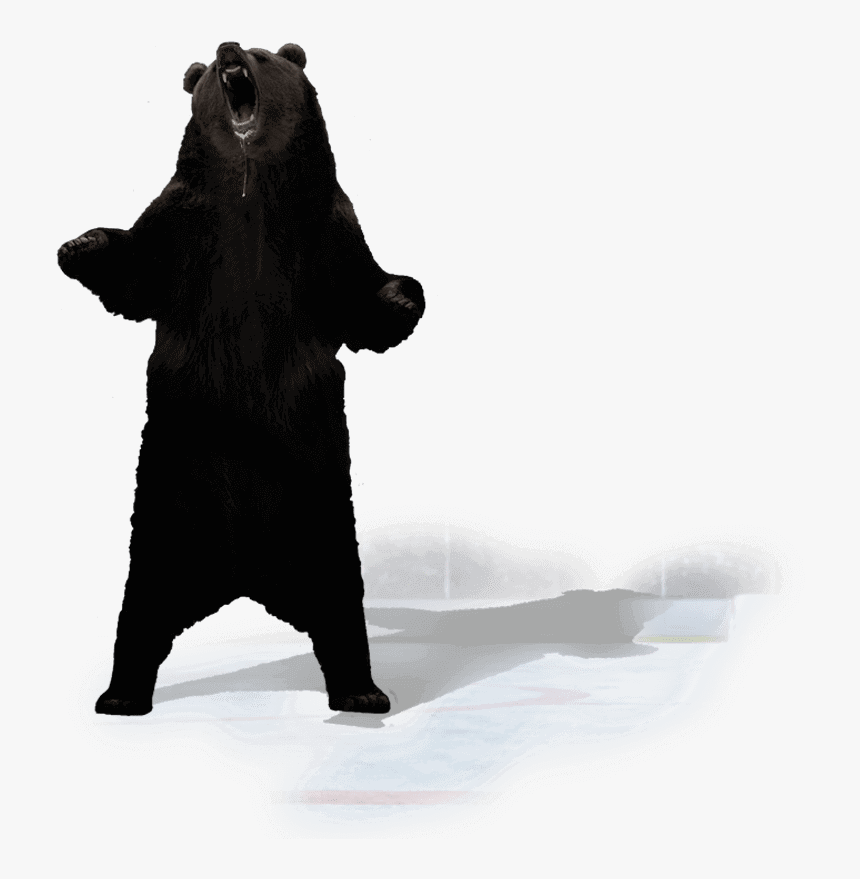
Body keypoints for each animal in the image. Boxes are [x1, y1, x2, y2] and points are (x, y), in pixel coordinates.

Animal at [57, 41, 424, 716]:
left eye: (261, 55)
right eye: (206, 68)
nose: (228, 49)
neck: (252, 188)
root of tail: (243, 577)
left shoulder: (324, 226)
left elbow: (362, 286)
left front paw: (404, 297)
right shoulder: (183, 223)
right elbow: (134, 266)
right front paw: (78, 244)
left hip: (318, 503)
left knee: (340, 597)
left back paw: (361, 691)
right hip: (169, 501)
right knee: (141, 605)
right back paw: (121, 695)